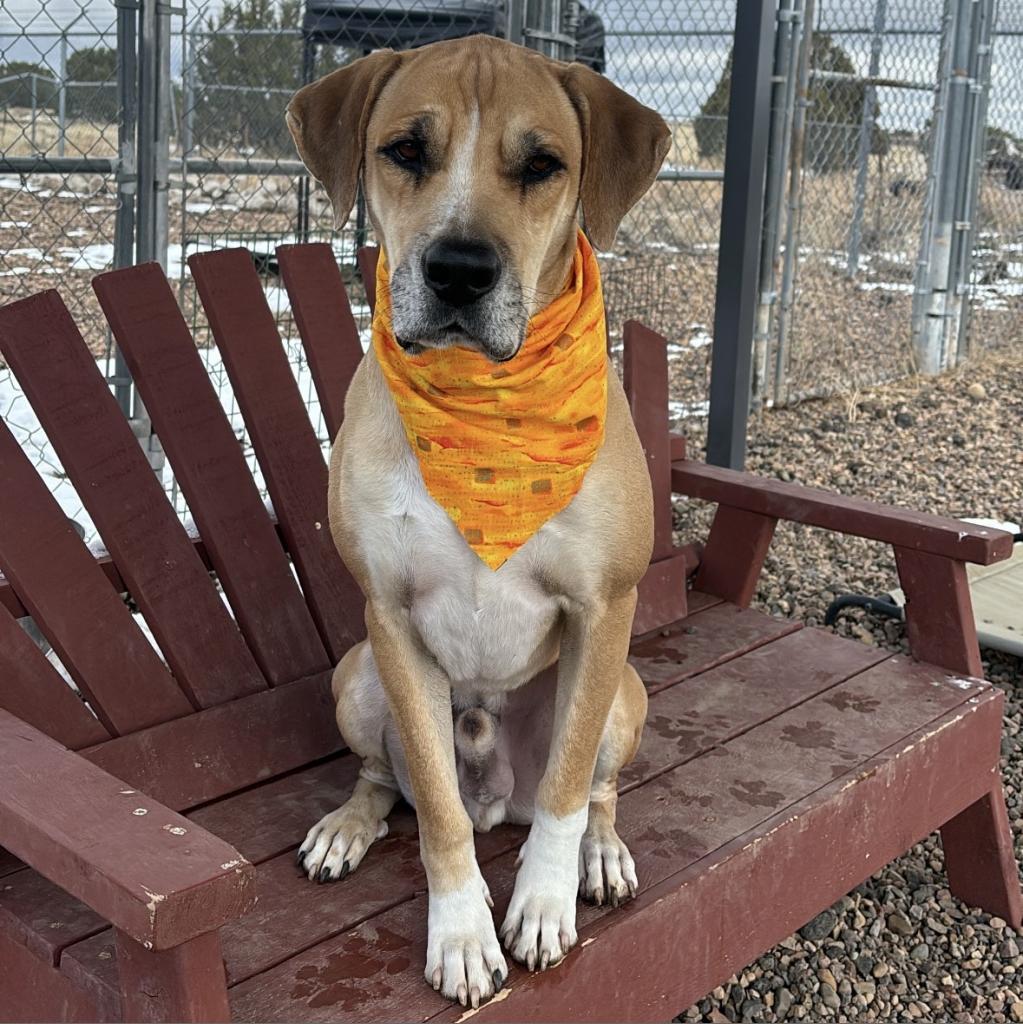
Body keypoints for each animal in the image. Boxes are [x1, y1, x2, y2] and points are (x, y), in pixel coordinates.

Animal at [288, 34, 671, 1007]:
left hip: (624, 689)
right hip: (355, 674)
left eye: (541, 165)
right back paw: (348, 825)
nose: (458, 269)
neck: (486, 419)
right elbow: (433, 808)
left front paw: (540, 905)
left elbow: (567, 793)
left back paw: (600, 855)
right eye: (404, 150)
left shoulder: (604, 608)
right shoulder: (389, 617)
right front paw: (459, 932)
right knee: (384, 780)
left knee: (597, 791)